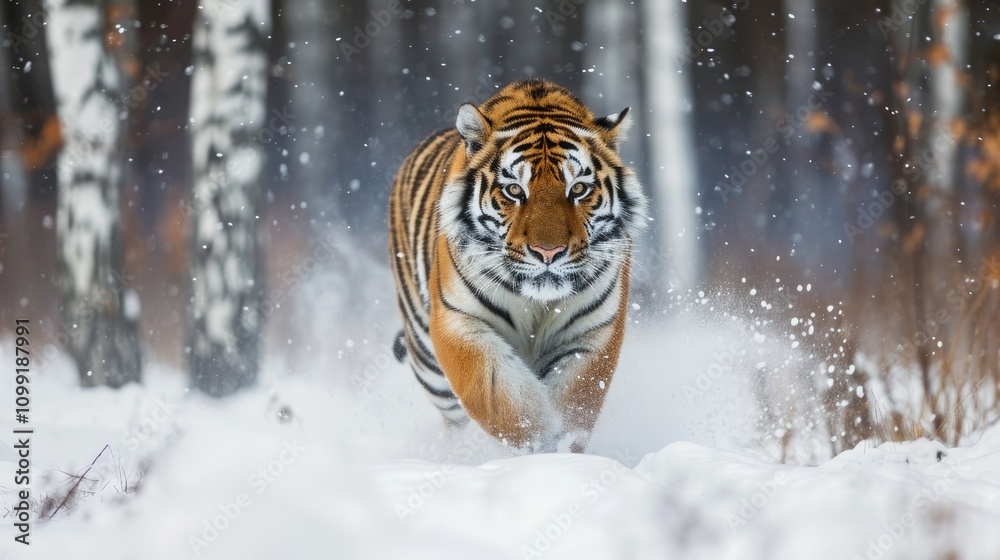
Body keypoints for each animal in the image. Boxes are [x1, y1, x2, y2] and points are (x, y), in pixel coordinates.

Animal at [388, 79, 648, 453]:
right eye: (513, 190)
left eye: (579, 189)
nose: (548, 252)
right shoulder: (459, 321)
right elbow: (501, 401)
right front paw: (538, 446)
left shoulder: (591, 331)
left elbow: (576, 402)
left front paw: (562, 450)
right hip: (427, 360)